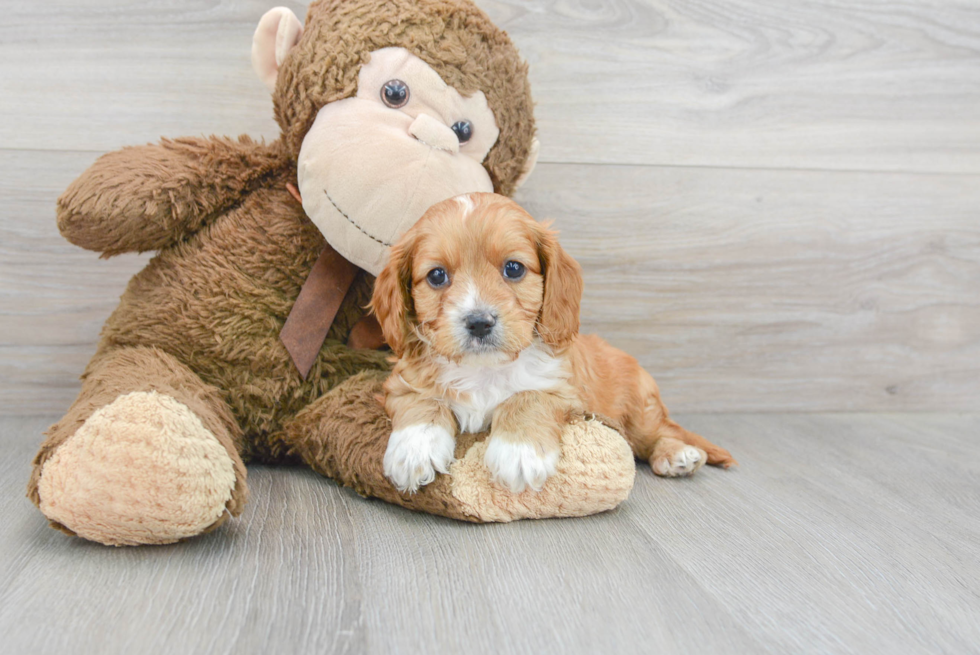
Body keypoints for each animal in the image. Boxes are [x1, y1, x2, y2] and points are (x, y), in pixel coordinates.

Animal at [370, 192, 736, 494]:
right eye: (436, 276)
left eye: (513, 268)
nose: (479, 322)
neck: (485, 370)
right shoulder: (402, 381)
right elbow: (423, 401)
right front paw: (413, 450)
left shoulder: (564, 392)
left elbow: (527, 397)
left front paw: (518, 453)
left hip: (638, 410)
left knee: (655, 433)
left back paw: (676, 453)